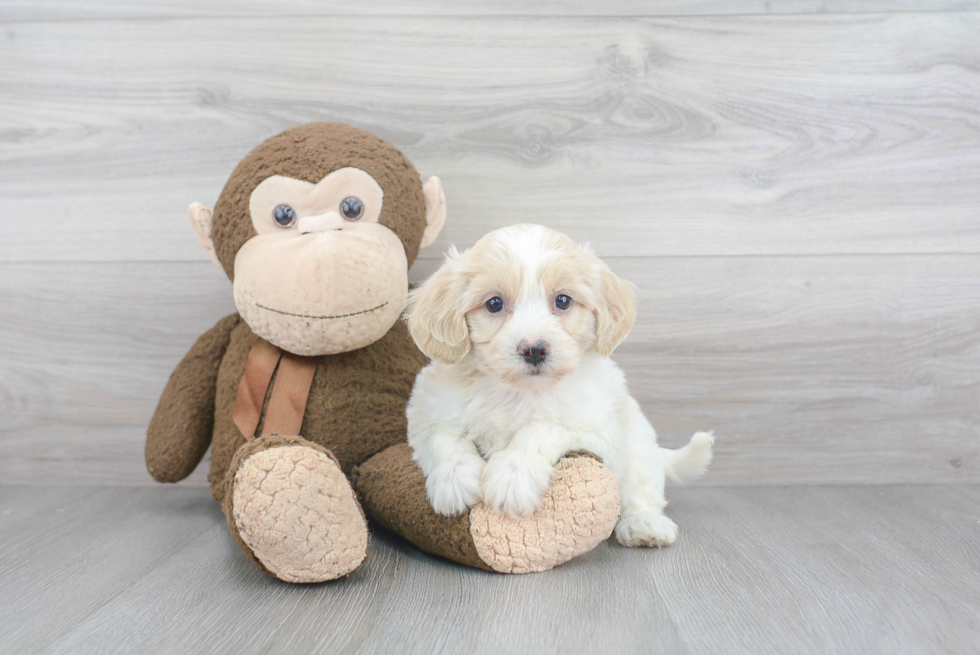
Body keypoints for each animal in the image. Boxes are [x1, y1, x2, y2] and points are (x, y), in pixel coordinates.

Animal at [404, 226, 712, 548]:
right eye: (494, 304)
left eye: (563, 301)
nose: (534, 349)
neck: (518, 391)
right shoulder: (427, 415)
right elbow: (445, 439)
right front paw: (454, 480)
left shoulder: (594, 430)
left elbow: (542, 428)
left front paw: (512, 476)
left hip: (637, 446)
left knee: (642, 490)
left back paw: (645, 525)